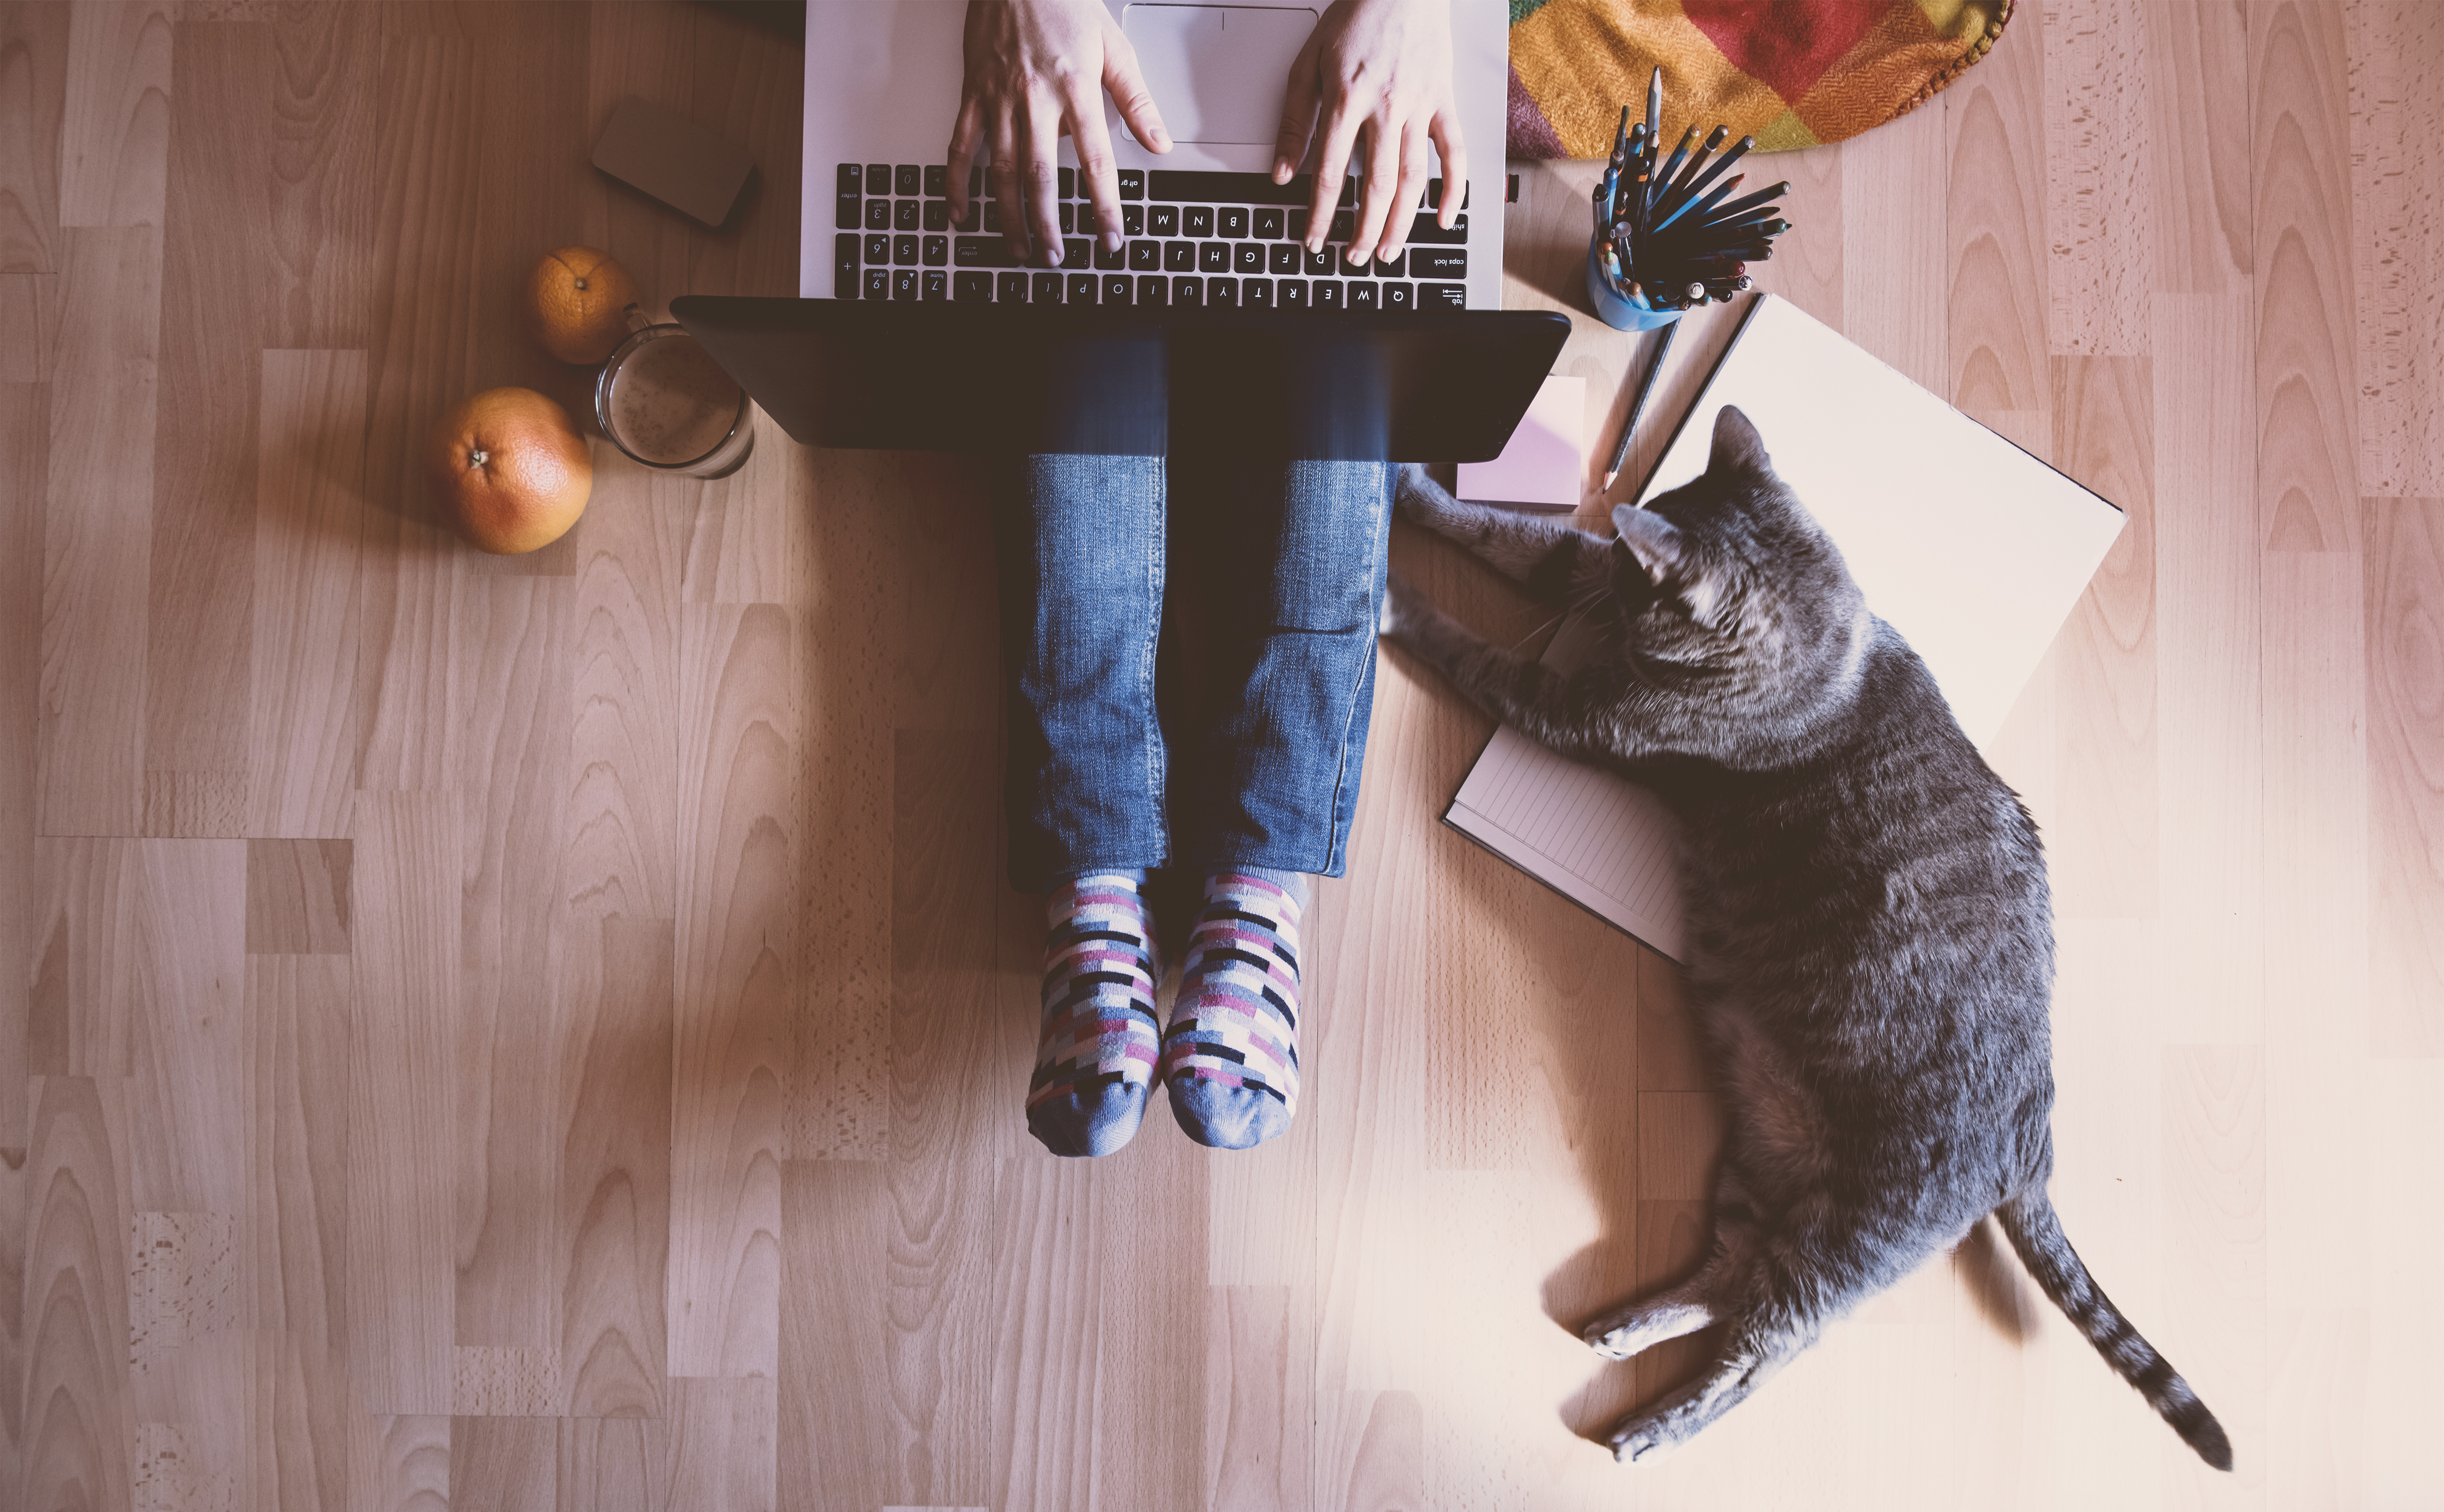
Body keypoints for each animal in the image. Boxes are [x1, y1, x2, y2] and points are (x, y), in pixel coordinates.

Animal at [1378, 408, 2239, 1475]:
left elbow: (1476, 650)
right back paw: (1630, 1325)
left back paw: (1648, 1428)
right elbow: (1507, 533)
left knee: (1761, 1349)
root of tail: (2030, 1138)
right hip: (1765, 1156)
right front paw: (1409, 490)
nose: (1613, 592)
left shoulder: (1580, 711)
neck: (1823, 647)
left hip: (1846, 1238)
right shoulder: (1569, 576)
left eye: (1635, 582)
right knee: (1725, 1276)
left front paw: (1395, 598)